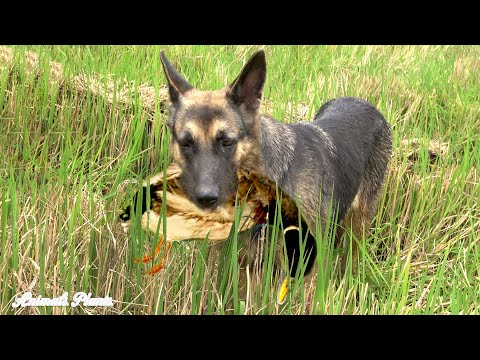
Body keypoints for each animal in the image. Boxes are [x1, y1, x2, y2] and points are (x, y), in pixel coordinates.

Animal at [156, 49, 392, 304]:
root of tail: (364, 102)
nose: (205, 198)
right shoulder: (244, 266)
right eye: (186, 143)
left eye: (227, 142)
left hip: (359, 224)